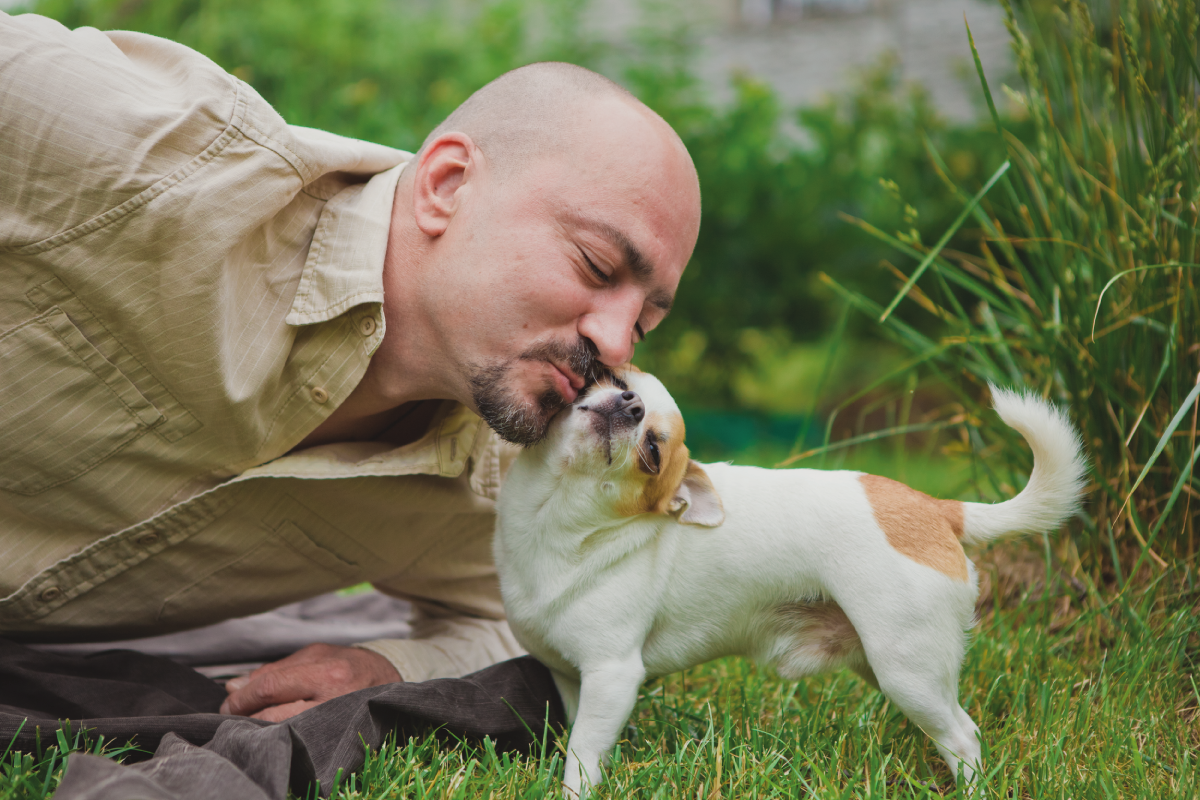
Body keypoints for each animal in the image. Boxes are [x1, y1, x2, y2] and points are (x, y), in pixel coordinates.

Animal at [494, 369, 1089, 796]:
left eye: (653, 453)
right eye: (614, 380)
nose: (631, 405)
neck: (556, 521)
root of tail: (937, 509)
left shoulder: (613, 676)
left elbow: (583, 760)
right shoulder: (574, 681)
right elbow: (581, 738)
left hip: (907, 669)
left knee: (963, 735)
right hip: (884, 664)